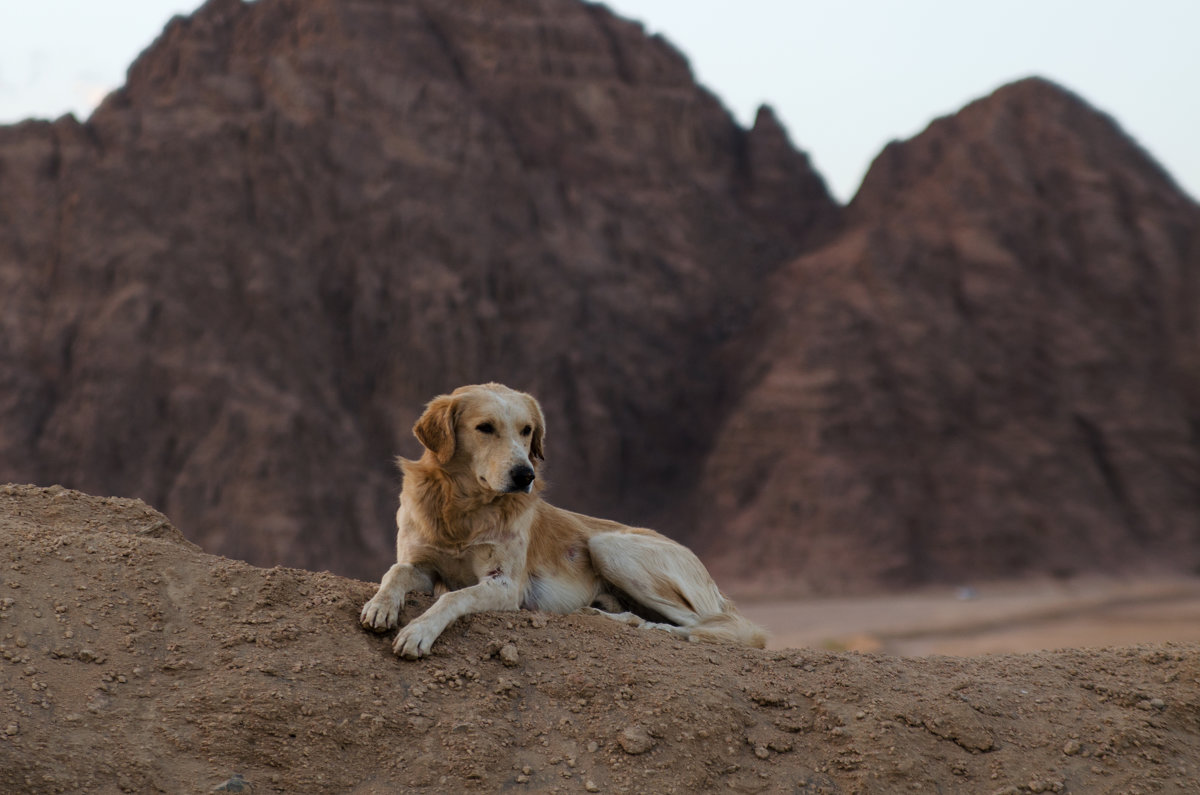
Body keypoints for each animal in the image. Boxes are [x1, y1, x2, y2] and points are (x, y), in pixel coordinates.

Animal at [357, 384, 768, 658]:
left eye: (527, 430)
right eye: (485, 427)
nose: (524, 475)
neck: (463, 510)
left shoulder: (506, 585)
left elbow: (454, 597)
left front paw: (418, 631)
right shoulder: (424, 565)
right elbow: (396, 572)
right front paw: (380, 607)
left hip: (608, 544)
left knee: (719, 627)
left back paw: (637, 623)